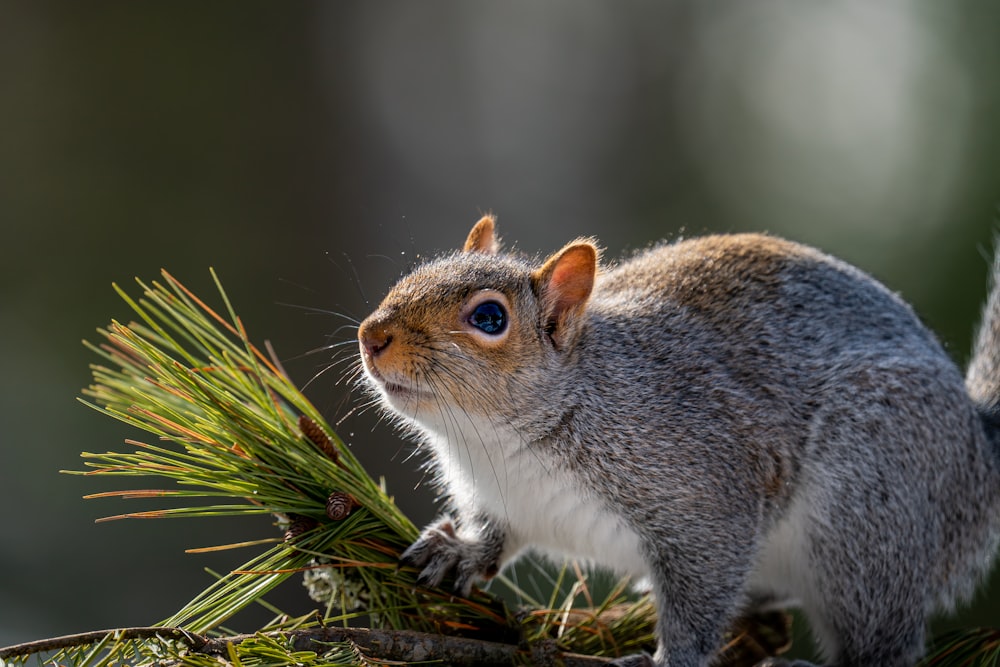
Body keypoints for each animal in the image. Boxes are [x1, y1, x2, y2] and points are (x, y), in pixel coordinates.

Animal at [352, 217, 1000, 664]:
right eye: (414, 274)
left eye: (489, 319)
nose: (371, 335)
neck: (504, 446)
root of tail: (978, 455)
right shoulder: (500, 501)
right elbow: (493, 537)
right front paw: (460, 550)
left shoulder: (704, 494)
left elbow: (700, 592)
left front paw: (670, 659)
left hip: (869, 507)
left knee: (883, 639)